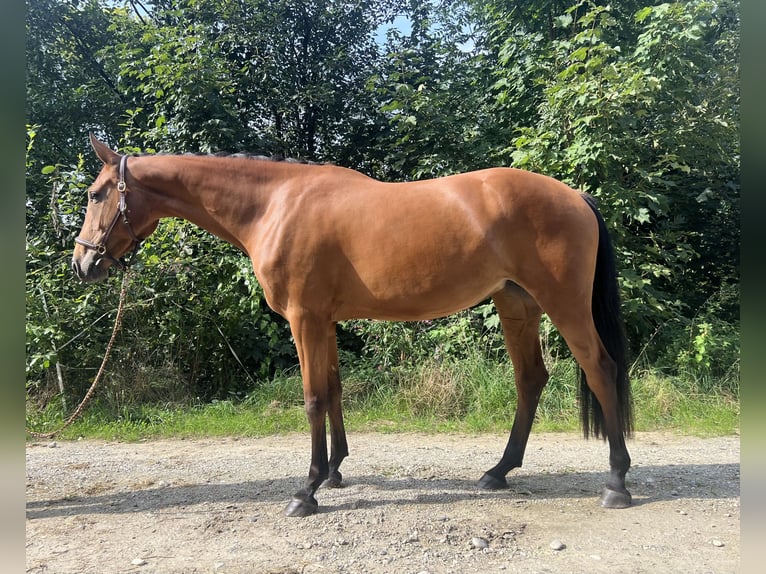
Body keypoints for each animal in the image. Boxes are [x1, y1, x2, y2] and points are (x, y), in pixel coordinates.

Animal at [72, 134, 633, 517]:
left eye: (97, 194)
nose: (83, 263)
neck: (274, 205)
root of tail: (576, 197)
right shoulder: (324, 321)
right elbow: (335, 390)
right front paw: (335, 471)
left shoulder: (304, 319)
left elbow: (313, 397)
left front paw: (307, 490)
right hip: (516, 305)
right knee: (530, 380)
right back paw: (499, 471)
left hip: (563, 305)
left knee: (601, 370)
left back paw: (616, 483)